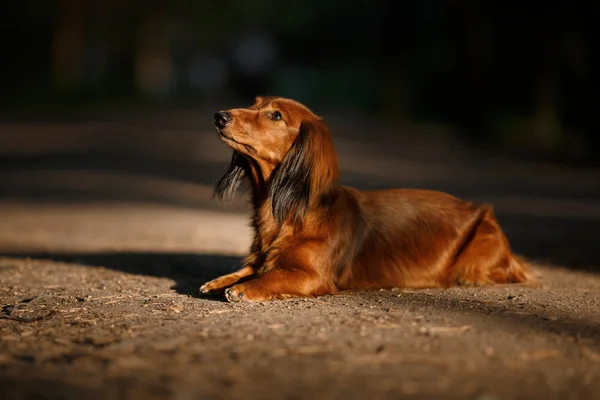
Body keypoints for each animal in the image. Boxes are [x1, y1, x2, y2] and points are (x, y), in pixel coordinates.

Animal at [199, 97, 532, 304]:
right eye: (253, 103)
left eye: (276, 115)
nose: (219, 116)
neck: (287, 213)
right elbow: (252, 268)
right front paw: (222, 281)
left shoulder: (313, 276)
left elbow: (274, 276)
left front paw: (245, 288)